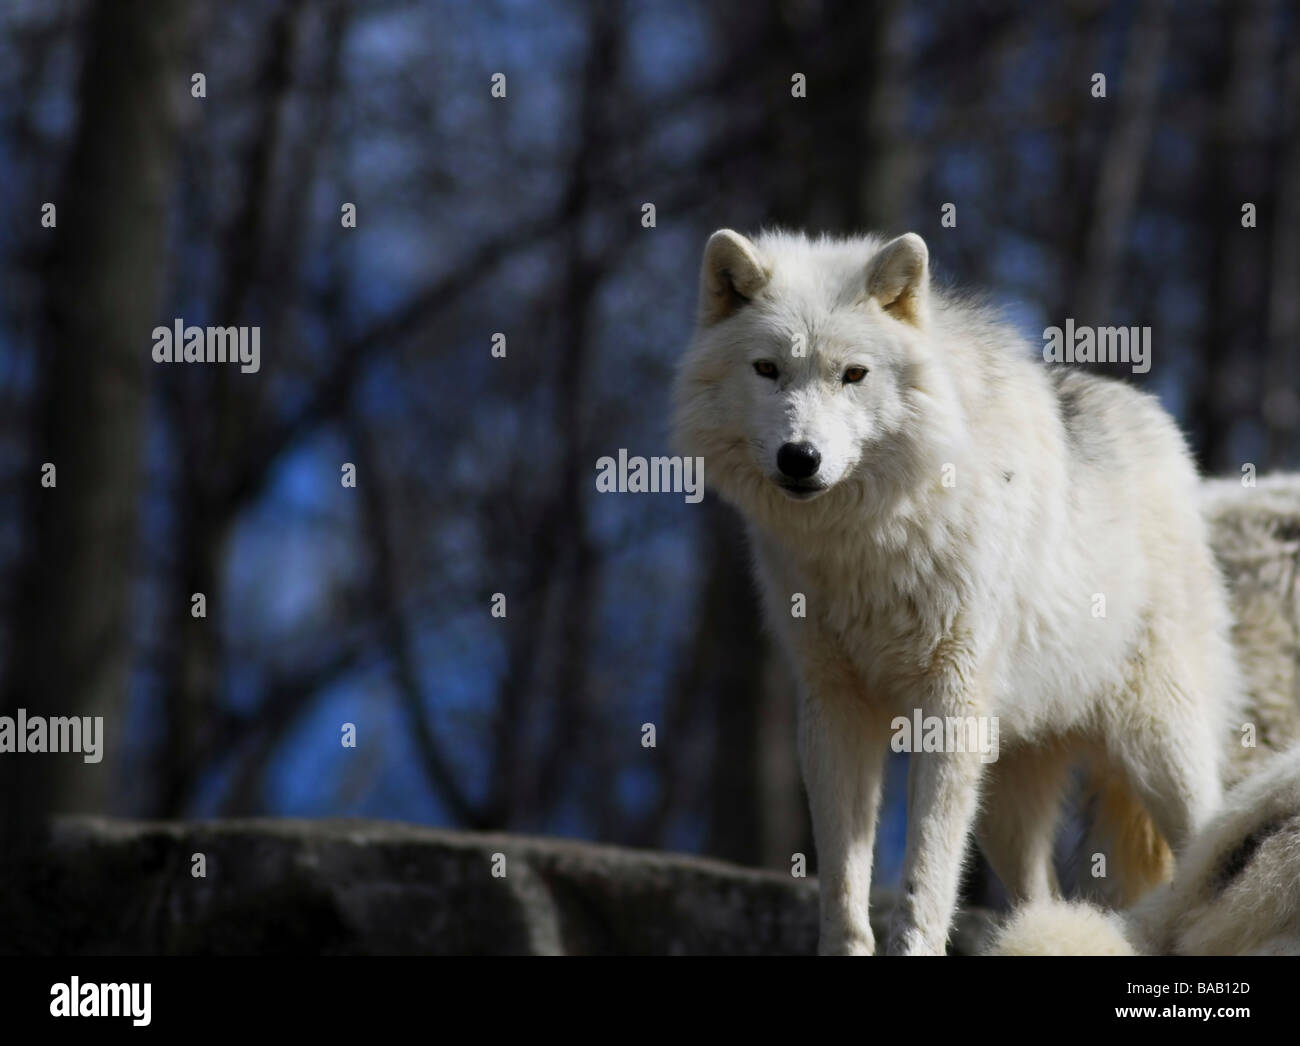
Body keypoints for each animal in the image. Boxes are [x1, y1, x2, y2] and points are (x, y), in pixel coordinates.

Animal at [670, 228, 1237, 956]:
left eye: (854, 375)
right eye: (767, 369)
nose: (801, 458)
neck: (869, 541)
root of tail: (1159, 425)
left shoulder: (947, 704)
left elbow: (926, 877)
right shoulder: (833, 705)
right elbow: (844, 883)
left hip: (1158, 749)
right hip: (1003, 799)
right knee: (1041, 896)